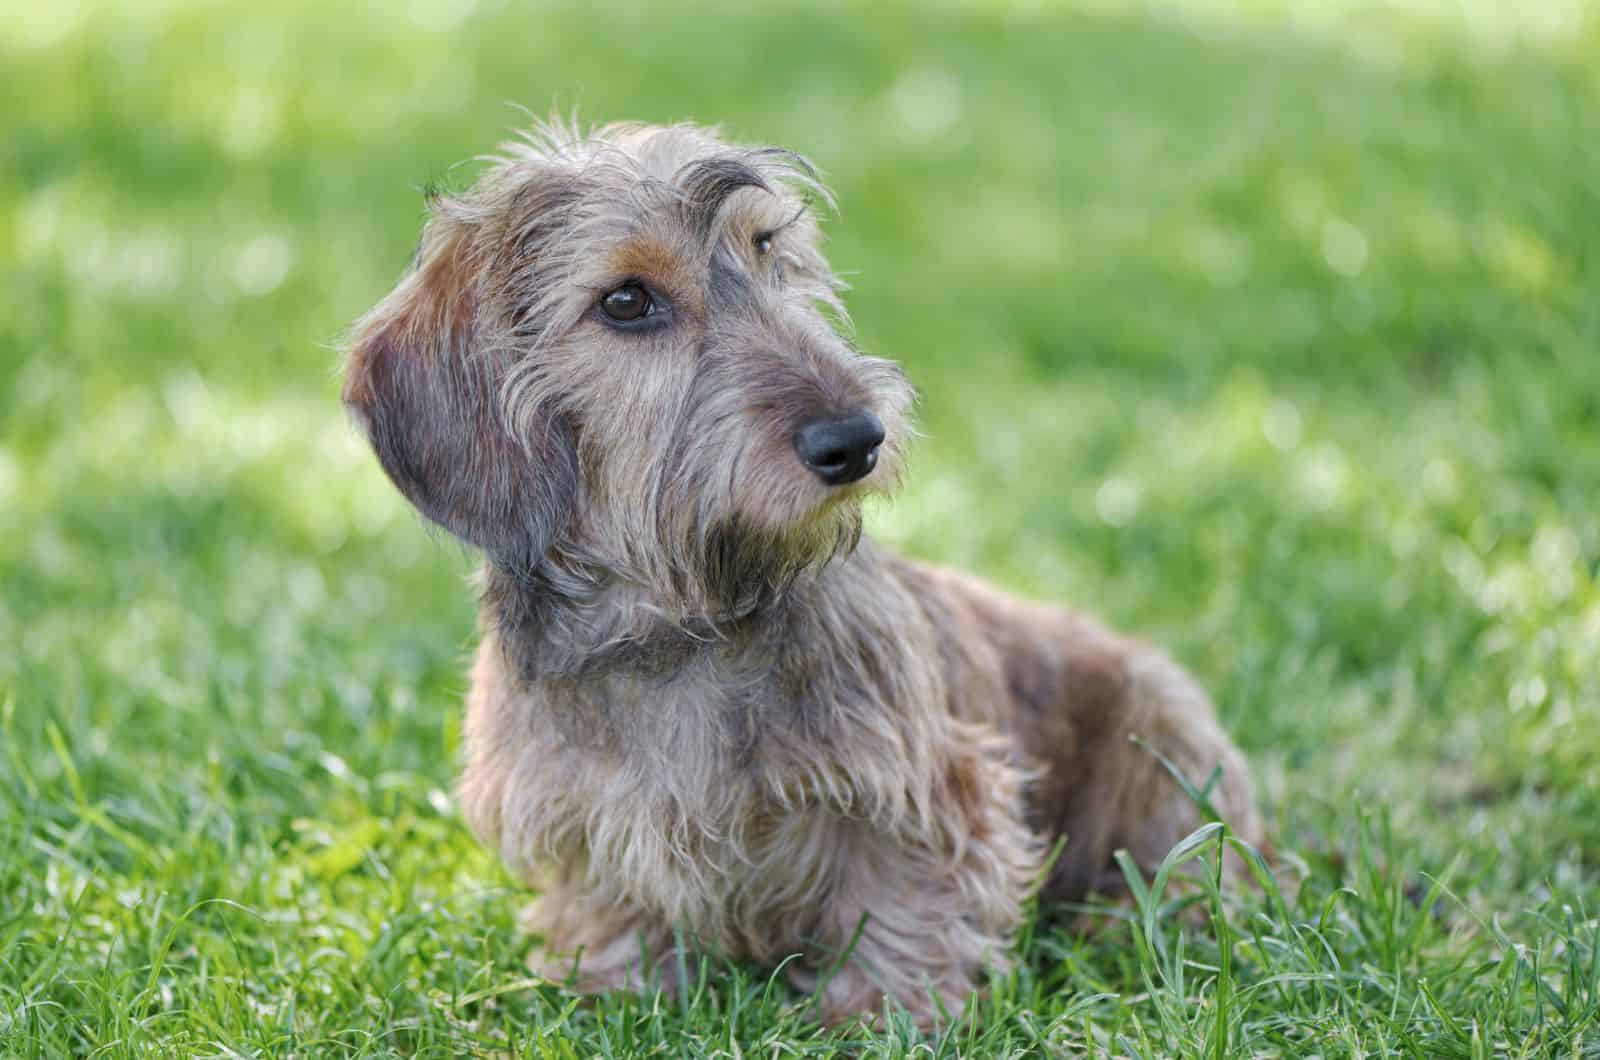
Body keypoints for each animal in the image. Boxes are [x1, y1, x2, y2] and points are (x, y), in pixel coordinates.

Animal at [340, 120, 1260, 1024]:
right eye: (626, 301)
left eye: (768, 248)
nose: (855, 439)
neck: (681, 622)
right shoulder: (575, 817)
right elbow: (610, 910)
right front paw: (612, 989)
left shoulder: (921, 789)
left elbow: (904, 905)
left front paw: (883, 1015)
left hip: (1163, 742)